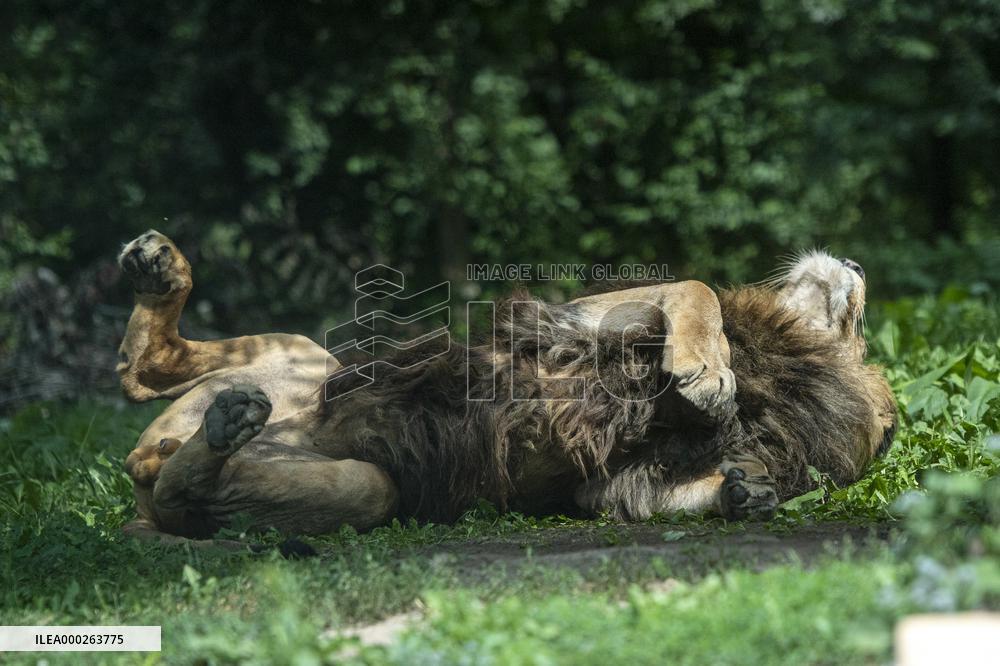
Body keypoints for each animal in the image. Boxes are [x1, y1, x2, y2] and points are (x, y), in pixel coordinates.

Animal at [117, 231, 896, 544]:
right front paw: (708, 377)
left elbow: (630, 499)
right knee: (141, 371)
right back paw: (160, 267)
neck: (780, 368)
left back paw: (226, 428)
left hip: (369, 487)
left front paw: (745, 494)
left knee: (185, 483)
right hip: (312, 356)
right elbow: (696, 287)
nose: (860, 264)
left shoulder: (606, 482)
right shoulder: (589, 316)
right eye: (860, 322)